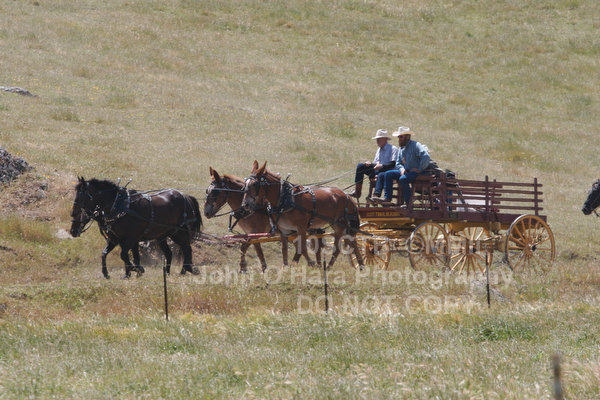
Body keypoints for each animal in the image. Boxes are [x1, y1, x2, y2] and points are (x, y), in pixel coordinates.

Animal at [70, 177, 202, 279]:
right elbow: (107, 254)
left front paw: (137, 269)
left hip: (179, 233)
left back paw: (187, 270)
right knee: (170, 253)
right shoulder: (117, 239)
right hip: (163, 236)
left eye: (81, 196)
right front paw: (116, 274)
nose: (72, 231)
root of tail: (186, 197)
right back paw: (168, 273)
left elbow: (124, 255)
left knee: (187, 248)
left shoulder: (131, 238)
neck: (118, 206)